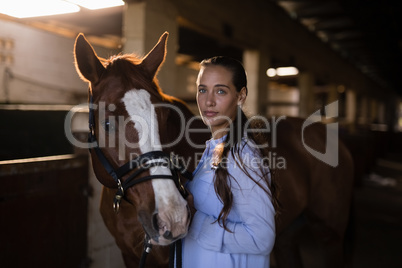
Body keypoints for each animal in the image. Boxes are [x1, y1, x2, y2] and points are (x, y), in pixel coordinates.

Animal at [74, 32, 354, 266]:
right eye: (107, 123)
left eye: (163, 116)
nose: (172, 217)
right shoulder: (130, 256)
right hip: (288, 235)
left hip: (330, 235)